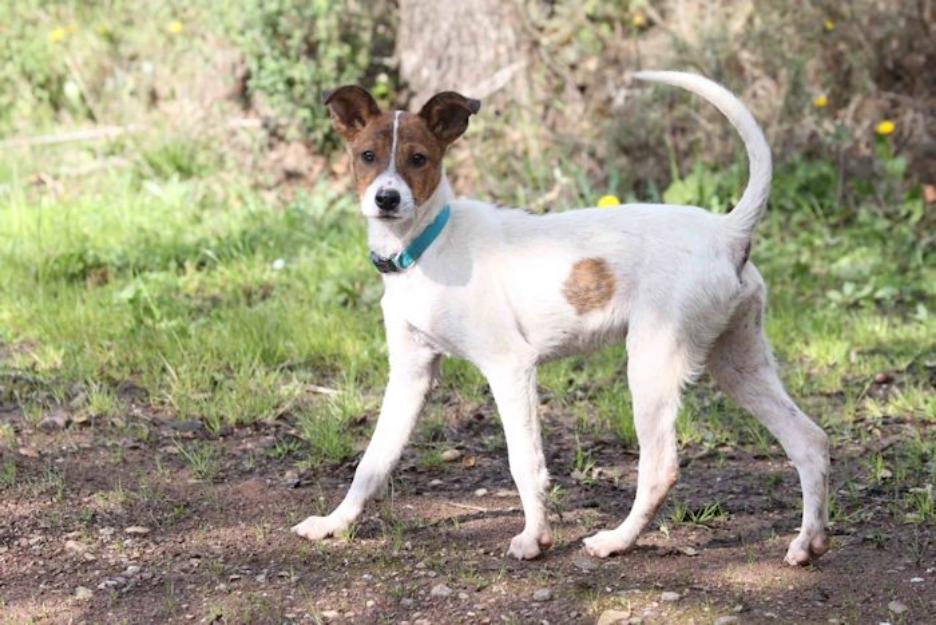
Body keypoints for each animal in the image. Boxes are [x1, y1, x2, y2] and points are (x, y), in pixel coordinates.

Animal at [288, 70, 828, 564]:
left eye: (418, 159)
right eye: (367, 156)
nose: (387, 199)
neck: (426, 247)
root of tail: (728, 231)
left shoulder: (510, 367)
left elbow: (523, 461)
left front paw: (535, 538)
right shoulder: (410, 375)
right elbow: (373, 460)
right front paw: (336, 523)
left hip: (652, 363)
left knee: (661, 467)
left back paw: (616, 540)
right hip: (738, 364)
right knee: (810, 441)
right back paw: (808, 543)